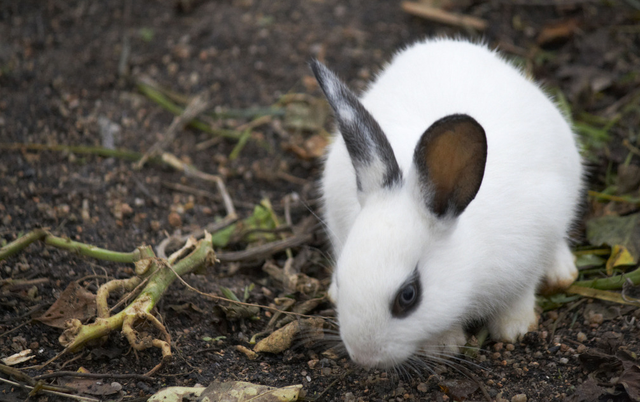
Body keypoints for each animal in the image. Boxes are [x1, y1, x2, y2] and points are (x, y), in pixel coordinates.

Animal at [310, 38, 584, 370]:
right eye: (342, 277)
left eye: (408, 295)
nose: (364, 356)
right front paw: (442, 345)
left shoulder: (532, 246)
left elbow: (521, 293)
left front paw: (514, 328)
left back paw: (561, 273)